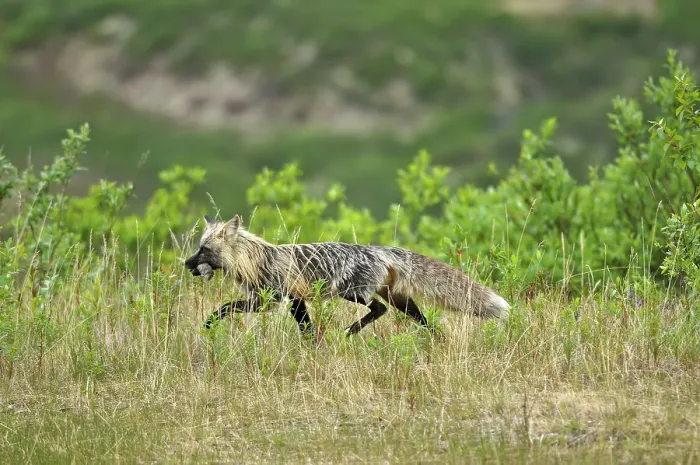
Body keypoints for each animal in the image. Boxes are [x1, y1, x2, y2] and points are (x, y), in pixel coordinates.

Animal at [184, 214, 510, 338]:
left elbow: (230, 307)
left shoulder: (284, 298)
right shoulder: (269, 300)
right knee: (422, 319)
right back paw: (435, 340)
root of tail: (378, 250)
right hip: (400, 300)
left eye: (203, 249)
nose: (185, 264)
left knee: (378, 310)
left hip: (352, 293)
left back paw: (350, 331)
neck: (256, 260)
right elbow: (228, 307)